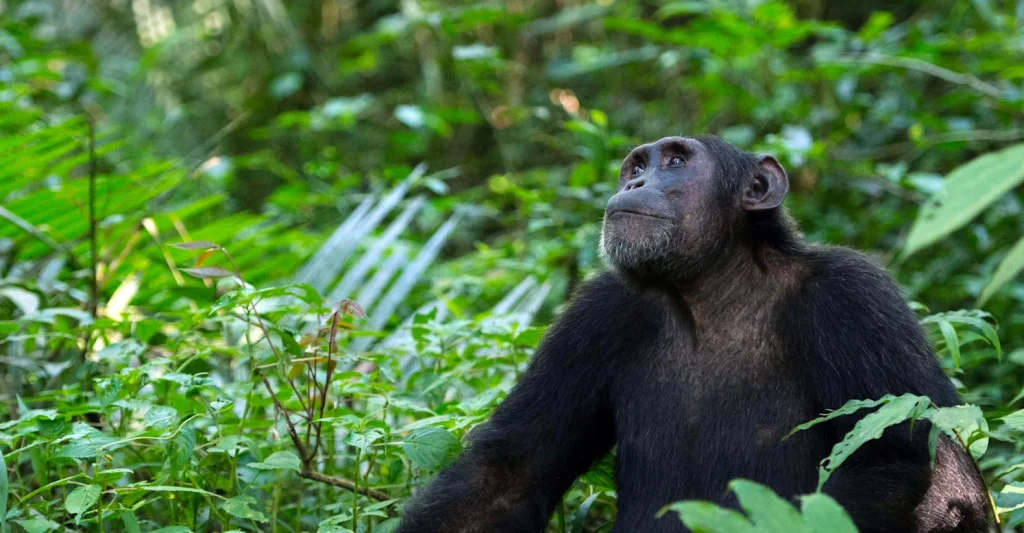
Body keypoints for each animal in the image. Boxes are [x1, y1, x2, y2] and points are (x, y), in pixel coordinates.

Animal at [396, 135, 992, 533]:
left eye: (677, 161)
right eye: (636, 166)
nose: (636, 182)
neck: (711, 291)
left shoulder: (857, 298)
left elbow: (902, 459)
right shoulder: (593, 315)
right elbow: (507, 475)